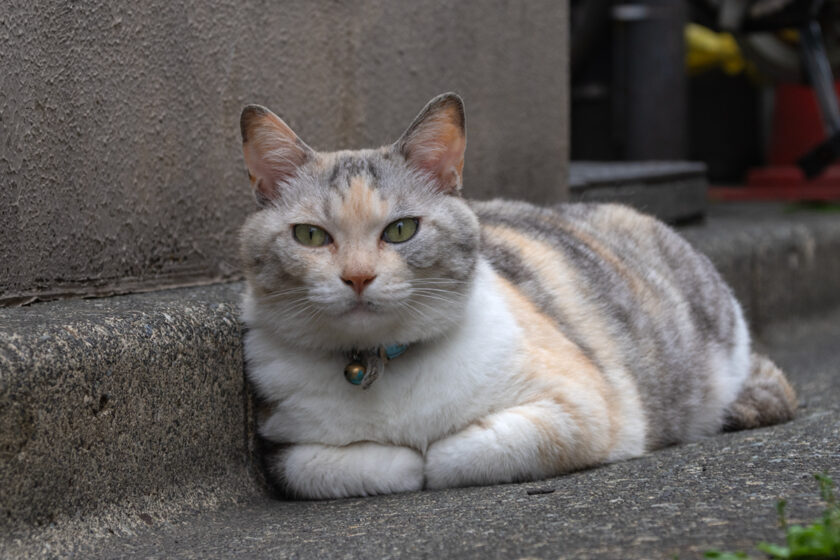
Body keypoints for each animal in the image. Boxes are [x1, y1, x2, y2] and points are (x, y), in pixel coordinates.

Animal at [235, 92, 796, 498]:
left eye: (401, 230)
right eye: (310, 236)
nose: (356, 277)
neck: (382, 366)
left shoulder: (588, 409)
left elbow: (457, 454)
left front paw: (430, 454)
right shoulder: (285, 448)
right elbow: (347, 467)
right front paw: (401, 457)